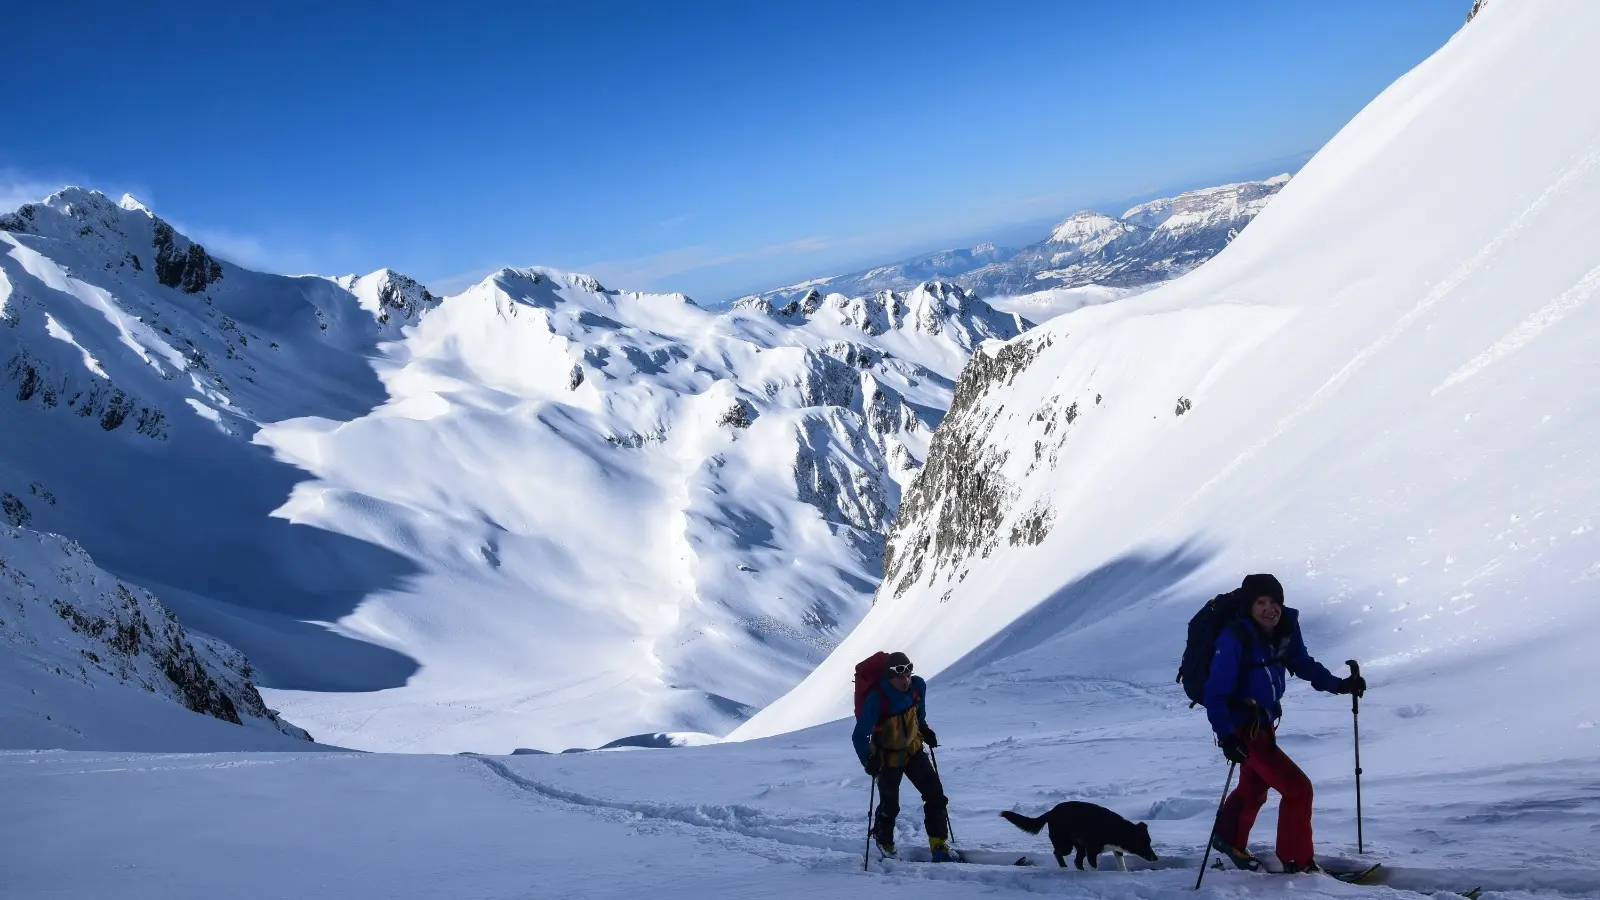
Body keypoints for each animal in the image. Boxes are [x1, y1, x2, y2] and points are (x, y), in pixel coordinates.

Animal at [992, 797, 1158, 871]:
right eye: (1143, 843)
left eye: (1149, 842)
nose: (1156, 858)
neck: (1116, 829)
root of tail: (1050, 812)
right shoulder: (1092, 852)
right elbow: (1094, 867)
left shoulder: (1116, 850)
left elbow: (1122, 865)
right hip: (1066, 845)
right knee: (1057, 853)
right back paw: (1064, 868)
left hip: (1079, 847)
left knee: (1077, 861)